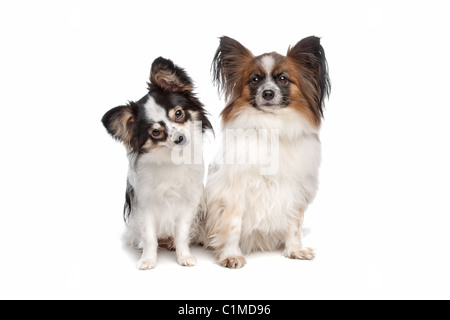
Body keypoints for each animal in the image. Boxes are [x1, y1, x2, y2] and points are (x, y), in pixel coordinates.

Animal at [102, 57, 213, 270]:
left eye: (178, 113)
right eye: (156, 132)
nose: (179, 138)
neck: (171, 157)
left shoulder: (188, 203)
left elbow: (181, 233)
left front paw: (184, 256)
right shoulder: (145, 205)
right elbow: (149, 236)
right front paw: (148, 259)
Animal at [204, 37, 330, 268]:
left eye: (283, 79)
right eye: (254, 80)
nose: (268, 93)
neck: (271, 124)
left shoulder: (294, 190)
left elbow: (293, 224)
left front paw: (294, 250)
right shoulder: (235, 191)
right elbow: (233, 226)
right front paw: (231, 255)